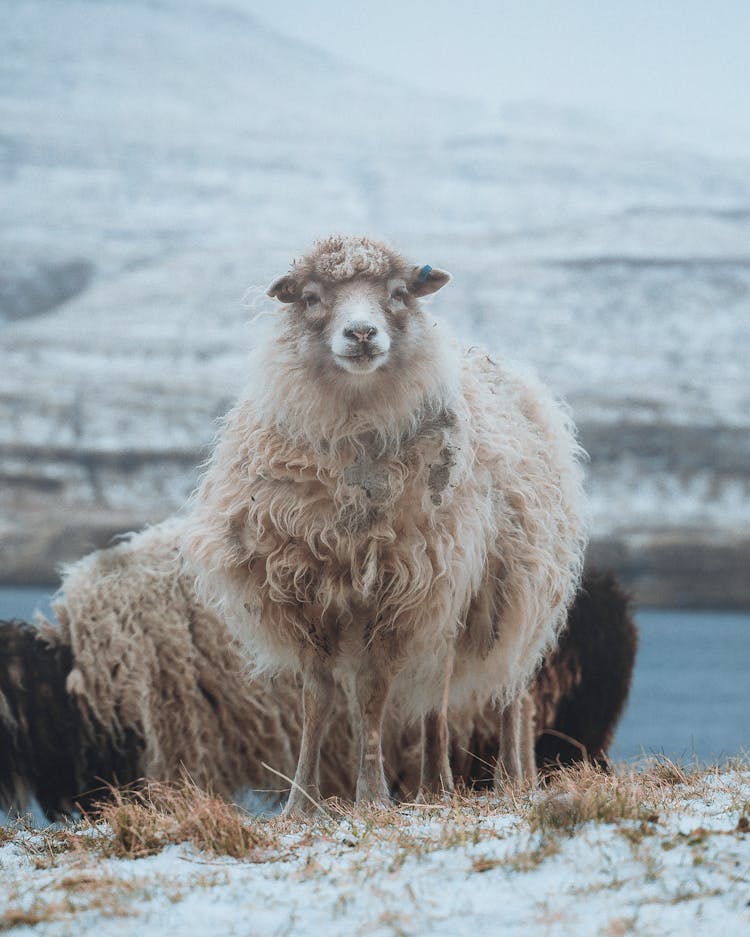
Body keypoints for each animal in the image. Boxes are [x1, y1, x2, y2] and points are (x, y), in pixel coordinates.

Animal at [182, 232, 588, 812]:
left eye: (398, 293)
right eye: (311, 297)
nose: (360, 333)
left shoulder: (401, 596)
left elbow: (375, 694)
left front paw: (371, 797)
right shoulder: (308, 596)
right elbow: (318, 699)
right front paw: (301, 801)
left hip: (502, 594)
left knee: (506, 693)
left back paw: (506, 780)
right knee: (434, 697)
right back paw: (435, 784)